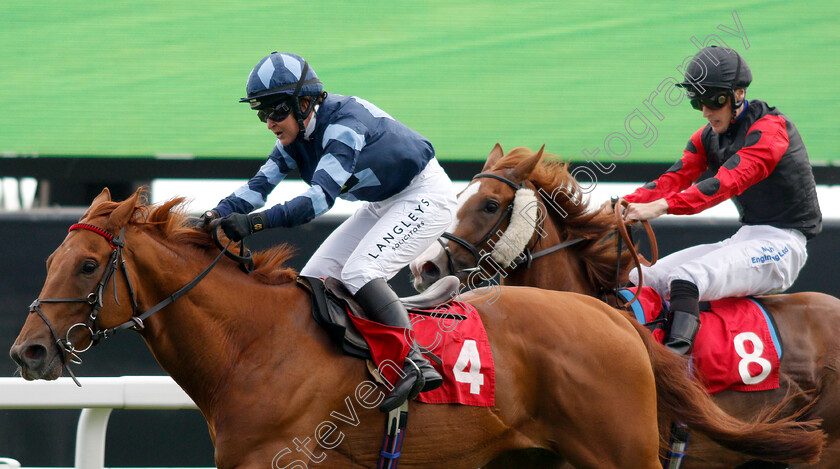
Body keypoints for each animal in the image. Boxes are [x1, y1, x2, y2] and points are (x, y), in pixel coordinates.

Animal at [8, 188, 828, 466]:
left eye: (88, 265)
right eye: (51, 259)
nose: (29, 349)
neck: (257, 347)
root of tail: (611, 319)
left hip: (622, 451)